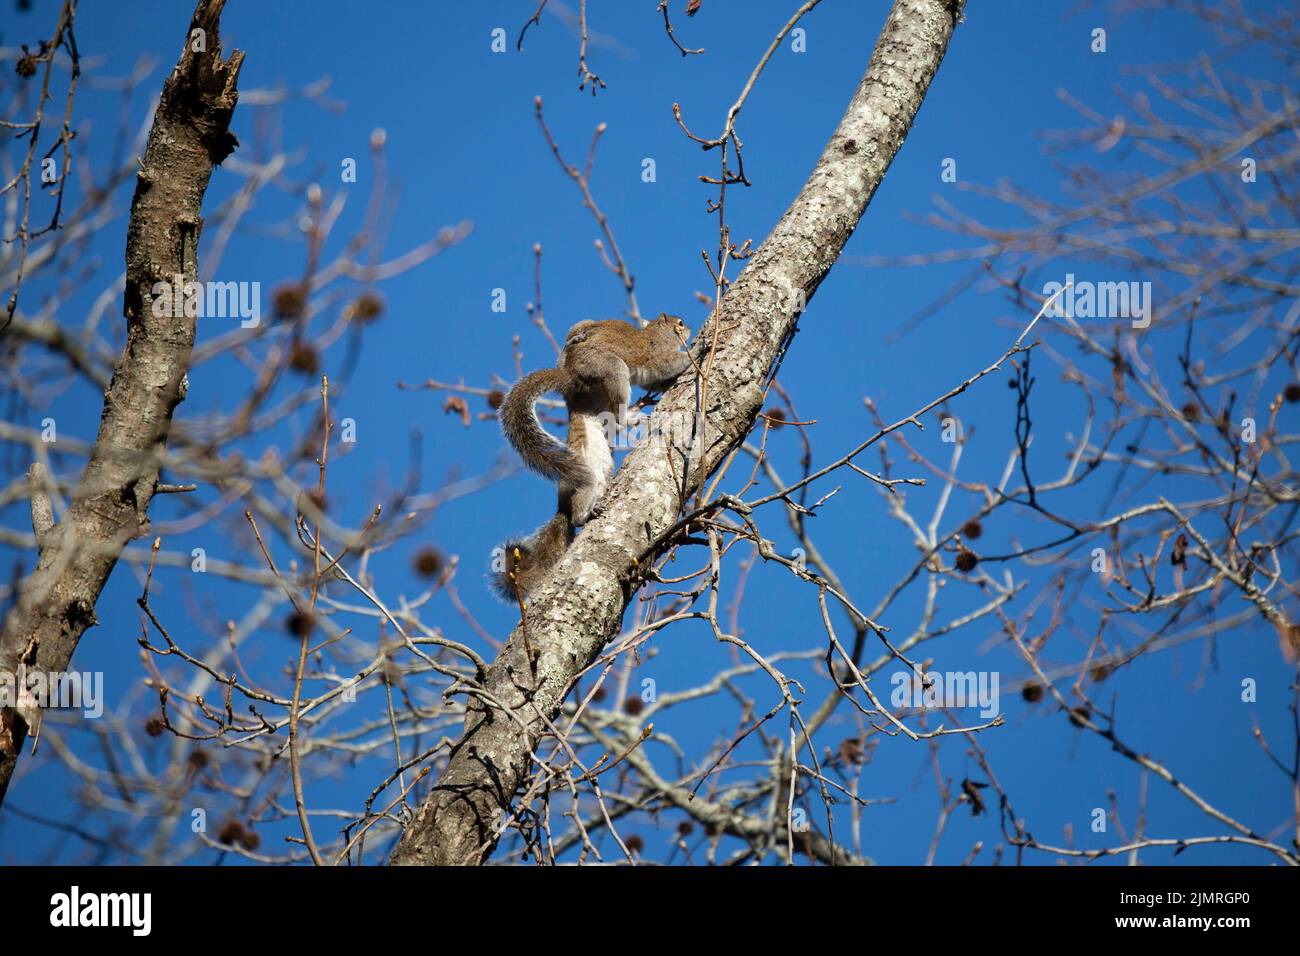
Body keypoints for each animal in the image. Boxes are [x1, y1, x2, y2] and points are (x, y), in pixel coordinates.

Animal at [488, 314, 691, 598]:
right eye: (680, 323)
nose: (689, 329)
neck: (656, 333)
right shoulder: (659, 356)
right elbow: (670, 364)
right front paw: (696, 351)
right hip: (611, 369)